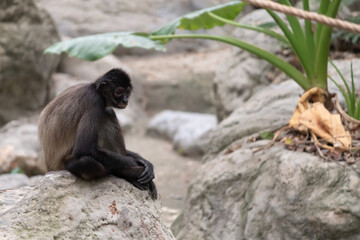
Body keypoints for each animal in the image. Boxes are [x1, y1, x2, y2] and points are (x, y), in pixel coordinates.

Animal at [38, 67, 157, 199]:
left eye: (127, 92)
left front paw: (144, 162)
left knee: (108, 112)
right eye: (119, 92)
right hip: (64, 164)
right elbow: (84, 148)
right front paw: (133, 162)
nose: (125, 100)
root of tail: (49, 167)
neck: (94, 88)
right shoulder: (95, 101)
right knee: (86, 161)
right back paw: (124, 173)